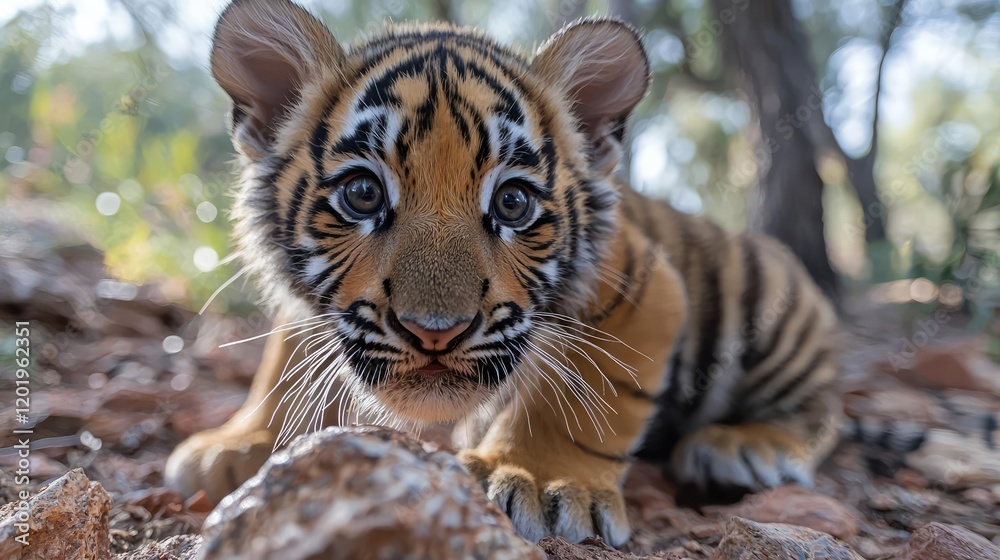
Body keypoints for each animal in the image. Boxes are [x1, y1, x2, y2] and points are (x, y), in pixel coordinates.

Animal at [166, 0, 842, 546]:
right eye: (362, 193)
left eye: (513, 202)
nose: (434, 331)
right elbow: (285, 360)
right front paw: (239, 444)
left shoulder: (647, 286)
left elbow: (582, 394)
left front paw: (541, 482)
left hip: (771, 301)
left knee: (817, 411)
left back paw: (743, 446)